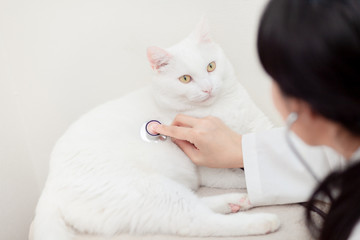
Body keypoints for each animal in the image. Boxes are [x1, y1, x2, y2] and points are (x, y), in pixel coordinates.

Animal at [31, 21, 278, 240]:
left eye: (211, 66)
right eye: (185, 79)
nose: (208, 88)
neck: (221, 109)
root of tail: (47, 191)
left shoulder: (260, 126)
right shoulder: (209, 166)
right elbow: (243, 174)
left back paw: (237, 201)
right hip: (155, 192)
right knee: (197, 221)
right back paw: (261, 220)